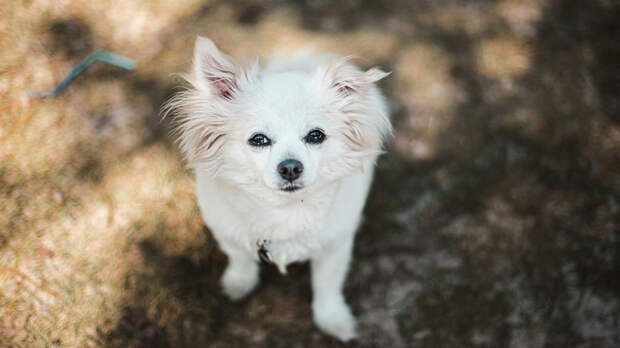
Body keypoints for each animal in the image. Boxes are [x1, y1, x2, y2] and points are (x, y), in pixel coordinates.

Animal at [162, 36, 390, 342]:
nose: (290, 167)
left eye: (316, 136)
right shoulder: (228, 233)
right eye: (258, 139)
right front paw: (239, 282)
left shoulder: (335, 248)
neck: (284, 210)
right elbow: (240, 259)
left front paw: (332, 319)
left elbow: (327, 286)